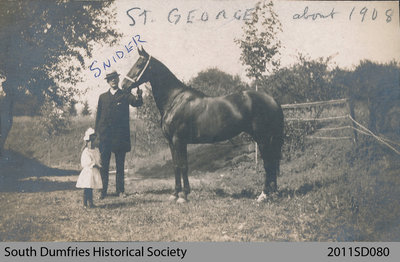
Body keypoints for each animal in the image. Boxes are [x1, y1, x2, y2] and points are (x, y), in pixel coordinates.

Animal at [122, 47, 284, 203]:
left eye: (139, 64)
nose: (123, 85)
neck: (175, 100)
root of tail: (272, 100)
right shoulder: (171, 142)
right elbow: (176, 166)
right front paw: (175, 194)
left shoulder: (179, 140)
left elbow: (183, 166)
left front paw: (184, 196)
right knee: (272, 162)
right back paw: (273, 193)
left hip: (263, 138)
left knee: (268, 163)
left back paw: (263, 195)